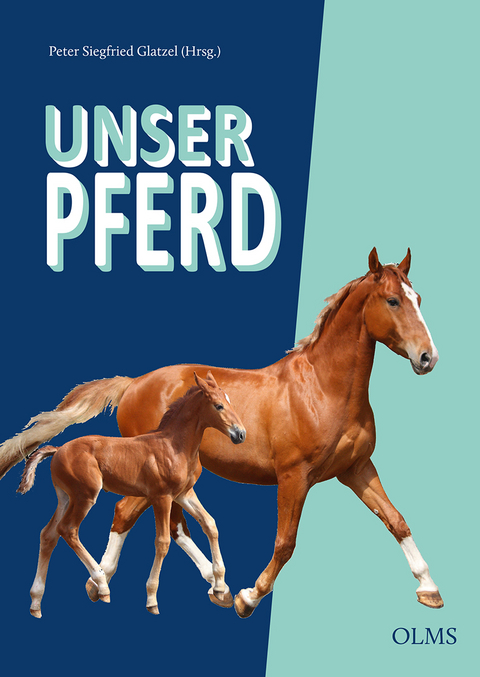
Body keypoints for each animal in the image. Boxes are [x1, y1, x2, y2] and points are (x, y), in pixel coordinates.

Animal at [17, 371, 246, 618]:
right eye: (218, 405)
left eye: (230, 401)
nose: (240, 433)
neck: (174, 445)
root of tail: (58, 449)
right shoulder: (162, 497)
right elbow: (162, 542)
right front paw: (152, 599)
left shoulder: (184, 494)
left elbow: (210, 524)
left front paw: (220, 587)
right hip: (85, 496)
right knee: (68, 530)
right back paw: (102, 585)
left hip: (65, 497)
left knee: (48, 534)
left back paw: (36, 602)